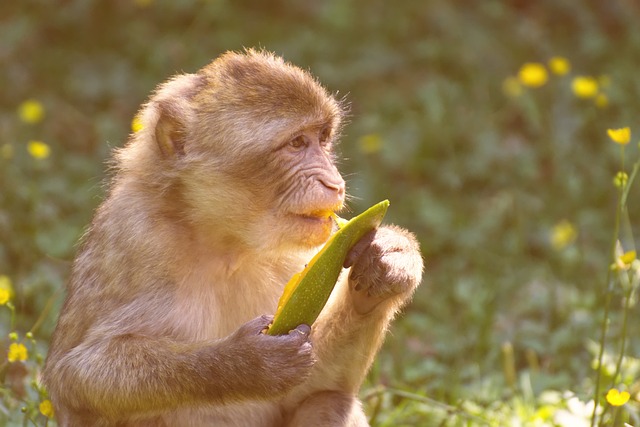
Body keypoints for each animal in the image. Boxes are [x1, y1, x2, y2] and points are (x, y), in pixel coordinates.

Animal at [43, 48, 424, 426]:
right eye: (297, 142)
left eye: (323, 138)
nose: (334, 183)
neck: (226, 244)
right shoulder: (132, 236)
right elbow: (76, 376)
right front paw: (246, 363)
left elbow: (316, 385)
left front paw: (387, 263)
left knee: (328, 401)